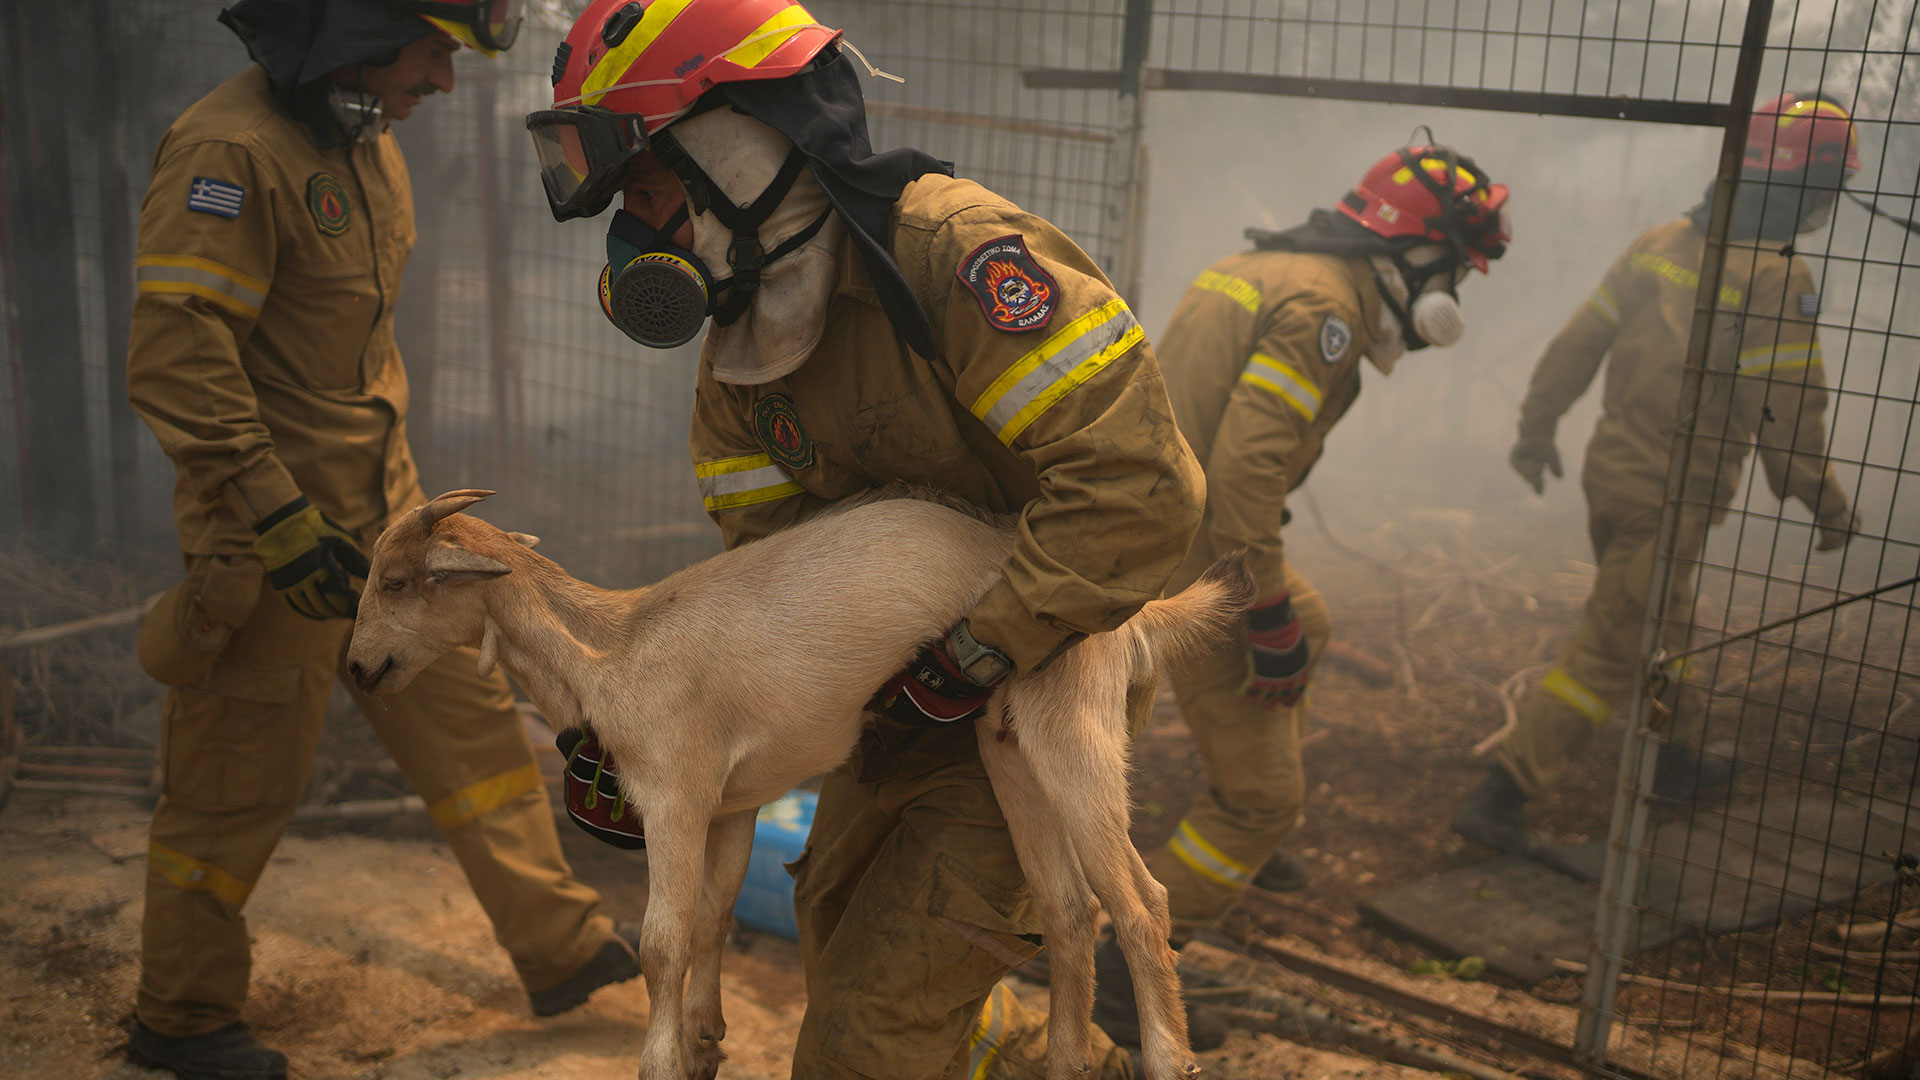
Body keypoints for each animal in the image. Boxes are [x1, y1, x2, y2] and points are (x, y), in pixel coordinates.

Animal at [347, 490, 1251, 1076]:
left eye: (395, 582)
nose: (356, 668)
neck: (616, 646)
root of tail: (1132, 613)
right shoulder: (734, 805)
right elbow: (711, 921)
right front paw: (704, 1041)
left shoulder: (673, 796)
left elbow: (662, 939)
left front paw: (660, 1062)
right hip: (1009, 749)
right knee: (1066, 914)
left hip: (1076, 735)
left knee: (1140, 903)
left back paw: (1172, 1059)